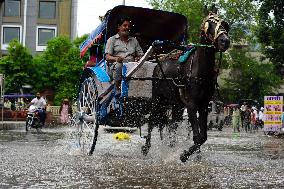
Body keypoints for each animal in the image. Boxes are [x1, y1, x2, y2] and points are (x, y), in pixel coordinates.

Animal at [141, 9, 230, 162]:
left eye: (225, 24)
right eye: (209, 24)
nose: (225, 41)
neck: (200, 72)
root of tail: (160, 62)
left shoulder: (203, 105)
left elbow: (203, 136)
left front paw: (193, 154)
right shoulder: (191, 104)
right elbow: (197, 136)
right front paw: (184, 155)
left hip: (176, 103)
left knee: (172, 124)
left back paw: (171, 145)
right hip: (158, 98)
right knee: (152, 120)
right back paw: (147, 147)